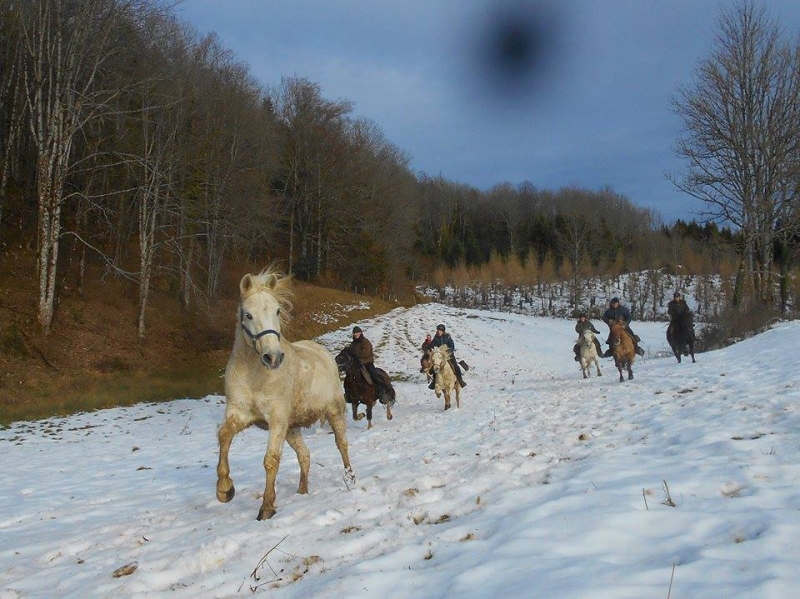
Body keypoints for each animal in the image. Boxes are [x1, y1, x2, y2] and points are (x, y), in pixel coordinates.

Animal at [216, 270, 354, 524]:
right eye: (248, 314)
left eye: (277, 311)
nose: (273, 357)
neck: (255, 375)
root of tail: (325, 355)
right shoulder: (238, 413)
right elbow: (224, 437)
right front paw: (224, 490)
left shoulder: (277, 420)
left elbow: (271, 460)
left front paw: (267, 507)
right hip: (293, 429)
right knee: (305, 455)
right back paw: (302, 490)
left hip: (334, 411)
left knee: (342, 444)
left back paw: (350, 477)